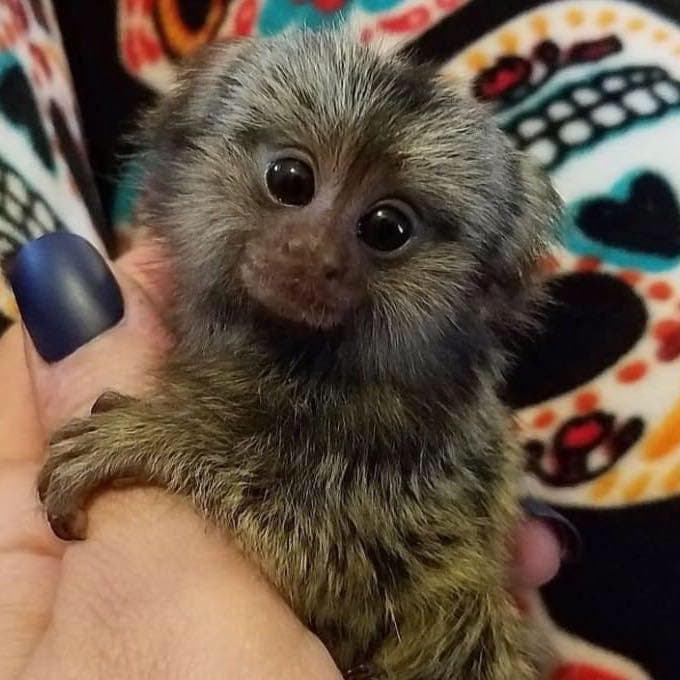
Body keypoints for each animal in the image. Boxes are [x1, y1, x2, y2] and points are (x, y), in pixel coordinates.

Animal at [36, 26, 563, 679]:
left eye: (387, 228)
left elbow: (352, 571)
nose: (313, 254)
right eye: (291, 180)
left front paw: (156, 440)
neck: (299, 362)